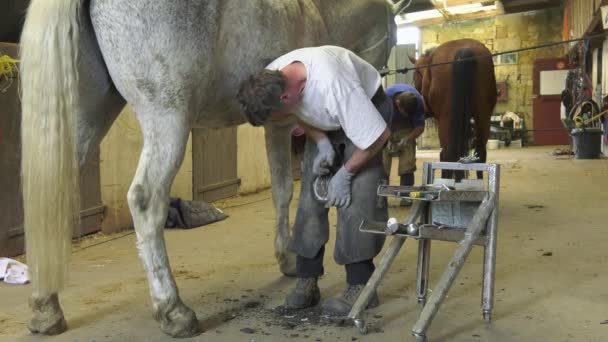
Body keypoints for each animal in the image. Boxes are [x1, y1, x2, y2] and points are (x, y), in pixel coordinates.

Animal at [20, 0, 408, 336]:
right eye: (393, 35)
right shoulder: (281, 124)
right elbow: (283, 190)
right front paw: (287, 259)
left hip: (83, 117)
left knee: (48, 201)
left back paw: (45, 310)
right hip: (168, 117)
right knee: (145, 201)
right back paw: (174, 312)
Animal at [410, 39, 496, 179]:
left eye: (416, 73)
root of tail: (465, 50)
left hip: (446, 119)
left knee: (447, 153)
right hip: (483, 116)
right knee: (480, 152)